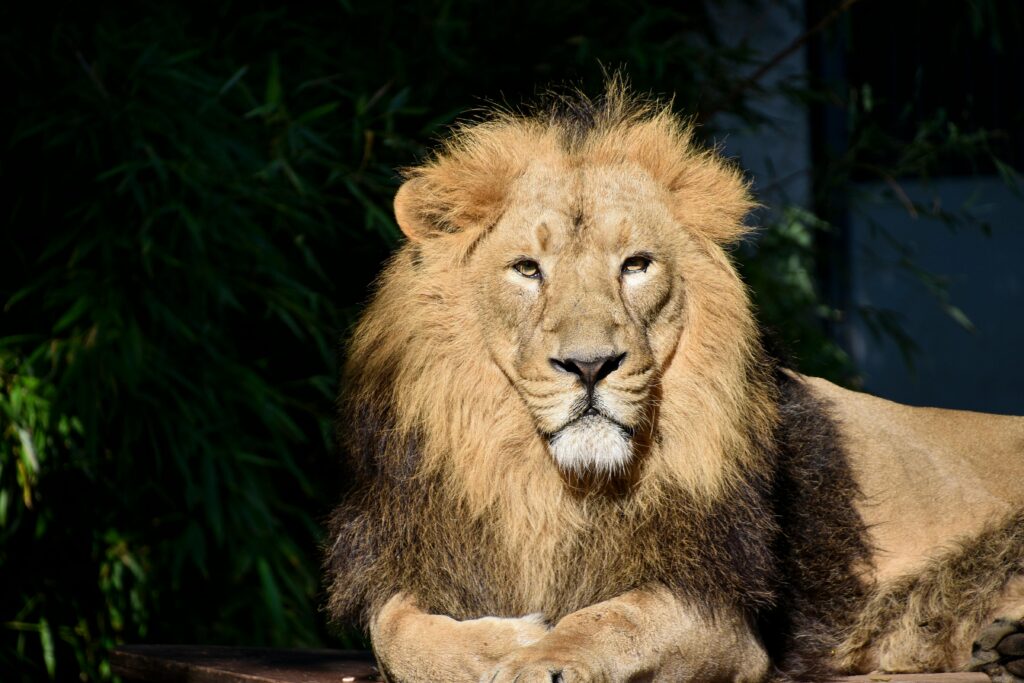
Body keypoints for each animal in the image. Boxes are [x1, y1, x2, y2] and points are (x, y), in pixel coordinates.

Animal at [325, 81, 1024, 683]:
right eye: (527, 269)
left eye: (636, 265)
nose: (590, 365)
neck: (550, 489)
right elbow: (393, 630)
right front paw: (508, 641)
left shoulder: (725, 613)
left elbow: (617, 618)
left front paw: (542, 656)